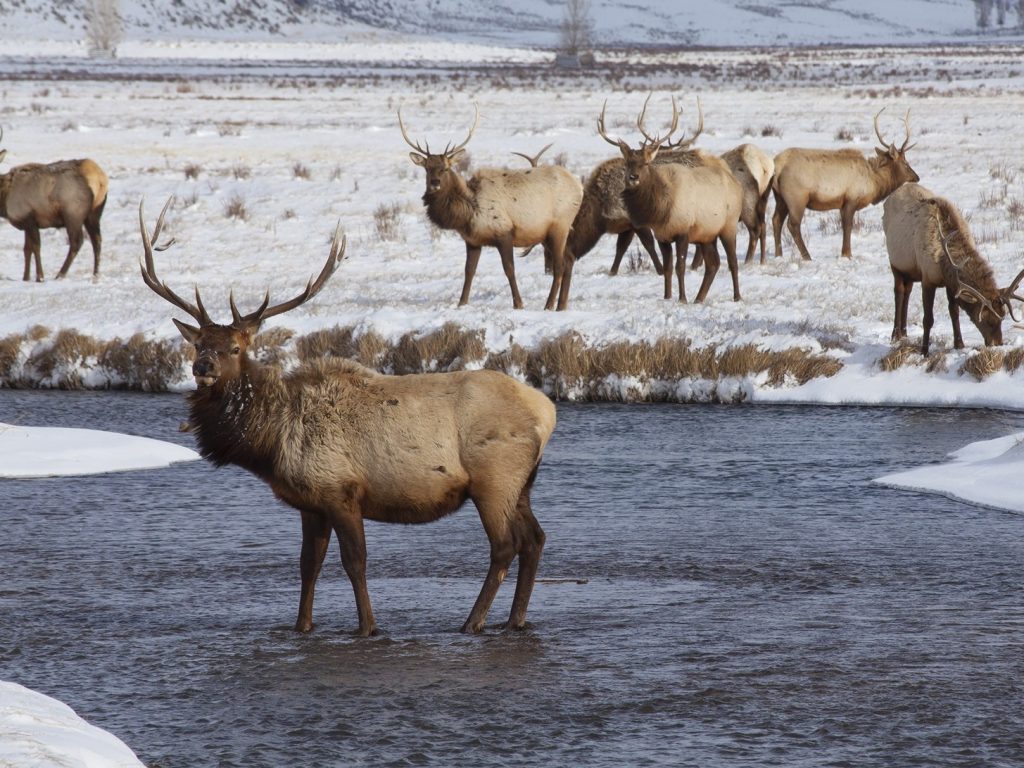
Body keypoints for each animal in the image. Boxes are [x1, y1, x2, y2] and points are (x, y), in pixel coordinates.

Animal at [0, 129, 109, 282]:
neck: (4, 198)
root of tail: (100, 179)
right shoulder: (26, 221)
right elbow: (26, 249)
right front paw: (25, 277)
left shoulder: (29, 218)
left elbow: (35, 247)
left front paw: (39, 276)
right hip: (94, 213)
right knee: (97, 240)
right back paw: (95, 274)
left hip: (73, 213)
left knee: (77, 241)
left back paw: (60, 274)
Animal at [139, 198, 557, 638]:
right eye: (199, 343)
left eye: (235, 348)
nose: (202, 366)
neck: (271, 442)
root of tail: (546, 411)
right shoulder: (309, 503)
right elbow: (308, 565)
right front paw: (302, 625)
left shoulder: (341, 491)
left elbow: (354, 562)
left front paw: (367, 627)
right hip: (522, 483)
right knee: (535, 539)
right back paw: (515, 619)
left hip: (494, 479)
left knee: (505, 546)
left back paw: (472, 621)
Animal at [401, 105, 585, 309]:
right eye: (427, 168)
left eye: (446, 168)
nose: (435, 183)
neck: (468, 213)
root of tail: (579, 186)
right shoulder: (472, 241)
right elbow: (469, 271)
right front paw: (461, 303)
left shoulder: (504, 232)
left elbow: (509, 269)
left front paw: (518, 304)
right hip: (547, 233)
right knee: (569, 260)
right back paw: (561, 305)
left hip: (559, 226)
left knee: (559, 266)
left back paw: (549, 305)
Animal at [770, 107, 925, 262]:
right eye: (905, 163)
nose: (916, 177)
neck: (874, 181)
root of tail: (777, 165)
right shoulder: (851, 198)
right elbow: (848, 225)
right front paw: (847, 253)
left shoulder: (842, 203)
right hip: (797, 197)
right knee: (793, 224)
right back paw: (807, 256)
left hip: (780, 197)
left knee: (776, 220)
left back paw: (778, 254)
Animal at [880, 185, 1024, 356]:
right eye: (985, 319)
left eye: (1003, 315)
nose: (997, 343)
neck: (943, 263)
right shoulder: (928, 279)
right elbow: (927, 319)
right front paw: (924, 351)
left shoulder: (952, 284)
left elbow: (954, 312)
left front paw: (959, 344)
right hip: (895, 263)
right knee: (899, 292)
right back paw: (895, 334)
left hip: (910, 270)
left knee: (907, 292)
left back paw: (904, 333)